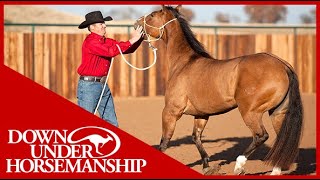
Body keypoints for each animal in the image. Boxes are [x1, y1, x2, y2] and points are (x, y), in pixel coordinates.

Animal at [134, 4, 304, 175]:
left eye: (152, 15)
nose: (137, 23)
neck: (184, 63)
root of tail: (283, 66)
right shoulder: (201, 115)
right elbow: (196, 138)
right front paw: (207, 166)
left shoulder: (171, 111)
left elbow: (164, 142)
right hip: (277, 113)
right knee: (281, 139)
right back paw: (275, 170)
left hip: (251, 112)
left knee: (260, 136)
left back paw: (239, 166)